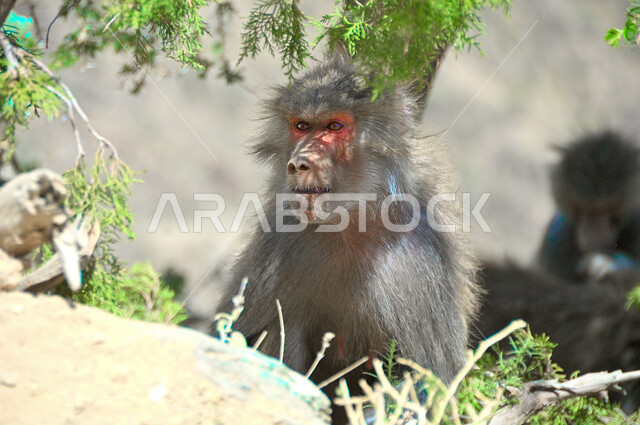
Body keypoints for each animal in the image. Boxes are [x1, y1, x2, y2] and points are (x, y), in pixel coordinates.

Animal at [214, 52, 480, 422]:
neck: (348, 224)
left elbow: (429, 383)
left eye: (334, 127)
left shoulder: (415, 260)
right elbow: (238, 335)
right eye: (302, 126)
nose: (299, 164)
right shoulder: (279, 236)